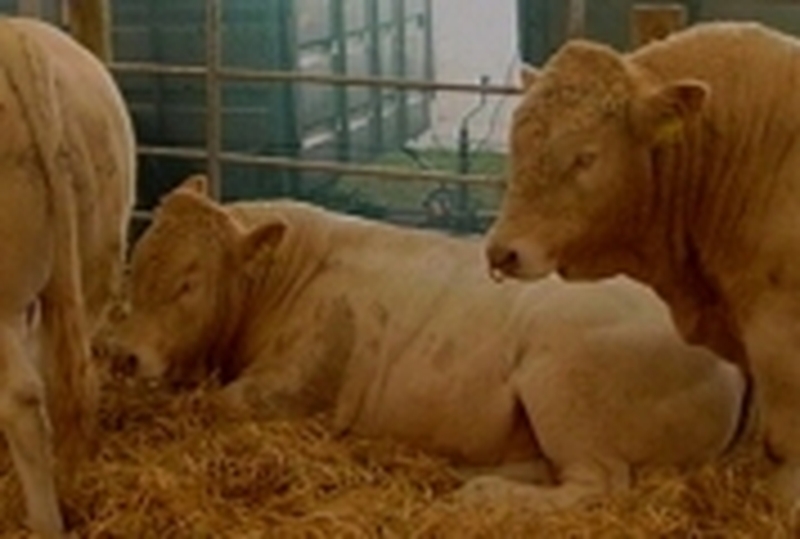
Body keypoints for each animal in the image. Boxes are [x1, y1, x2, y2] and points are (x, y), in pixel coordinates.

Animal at [0, 17, 135, 538]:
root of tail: (17, 40)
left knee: (22, 399)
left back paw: (45, 519)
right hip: (98, 255)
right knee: (69, 379)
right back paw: (73, 483)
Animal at [110, 175, 746, 511]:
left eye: (188, 282)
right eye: (135, 265)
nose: (124, 354)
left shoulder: (295, 386)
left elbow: (222, 404)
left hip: (563, 383)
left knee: (598, 485)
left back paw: (485, 496)